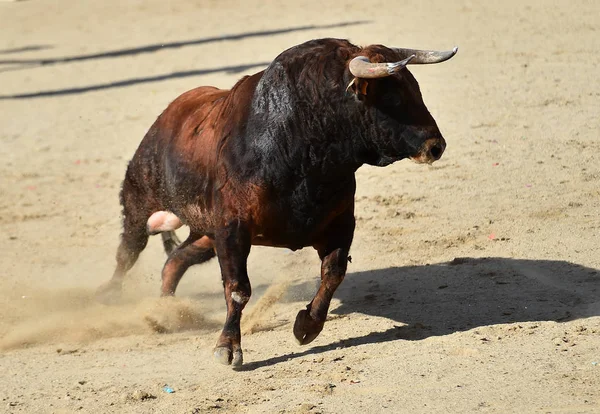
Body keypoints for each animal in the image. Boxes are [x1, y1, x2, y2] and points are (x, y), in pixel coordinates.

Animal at [98, 38, 458, 368]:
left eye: (416, 89)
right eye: (393, 97)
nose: (436, 145)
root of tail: (168, 115)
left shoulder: (340, 222)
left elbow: (333, 273)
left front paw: (307, 326)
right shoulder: (233, 229)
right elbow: (238, 288)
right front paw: (228, 348)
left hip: (206, 234)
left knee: (174, 262)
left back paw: (164, 313)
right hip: (139, 206)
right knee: (127, 253)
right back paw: (112, 298)